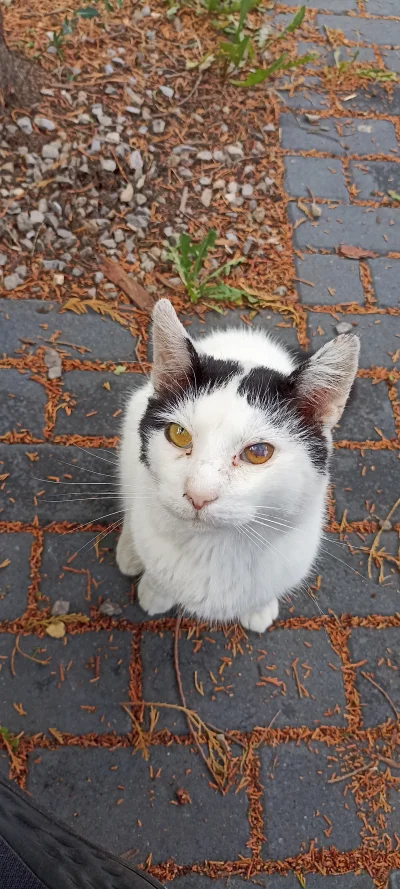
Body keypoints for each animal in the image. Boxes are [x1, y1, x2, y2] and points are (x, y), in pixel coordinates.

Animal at [116, 298, 360, 632]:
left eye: (258, 452)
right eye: (179, 435)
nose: (198, 495)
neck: (213, 549)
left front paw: (259, 609)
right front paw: (155, 591)